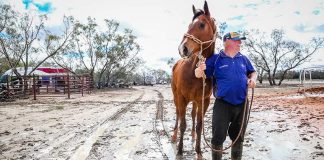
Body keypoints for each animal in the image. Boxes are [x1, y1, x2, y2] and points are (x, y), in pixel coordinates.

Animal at [170, 0, 218, 158]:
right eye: (189, 25)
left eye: (201, 25)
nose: (182, 48)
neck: (195, 72)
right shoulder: (182, 98)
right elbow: (183, 124)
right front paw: (180, 150)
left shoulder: (203, 101)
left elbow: (199, 125)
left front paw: (198, 151)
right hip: (176, 97)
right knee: (178, 114)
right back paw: (174, 136)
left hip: (195, 102)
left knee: (192, 116)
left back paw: (192, 136)